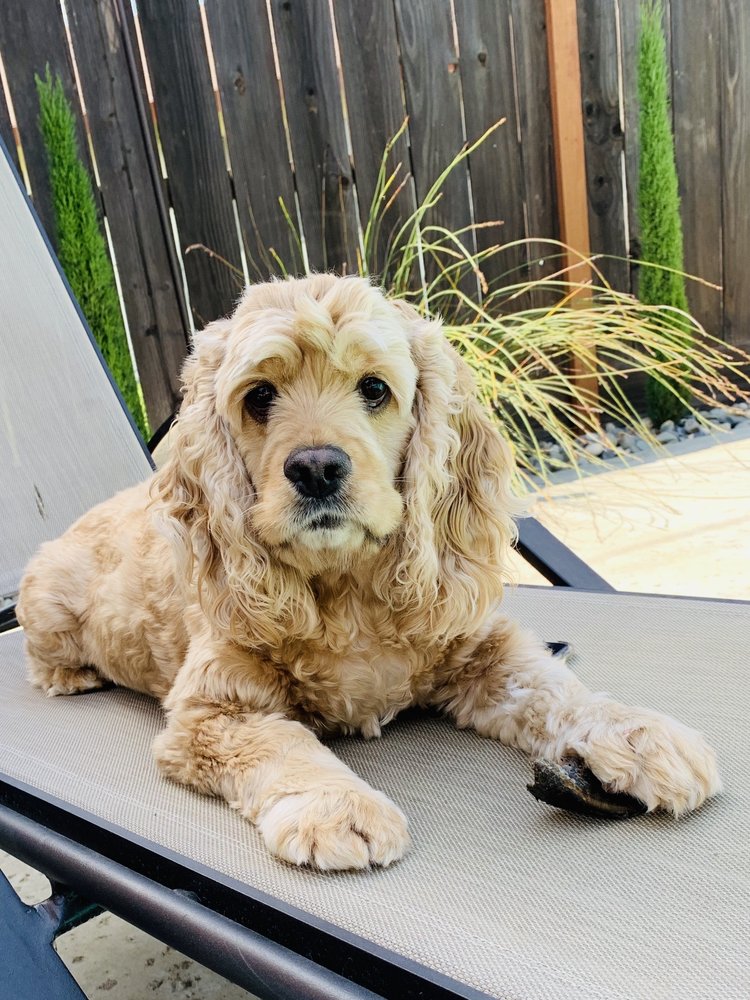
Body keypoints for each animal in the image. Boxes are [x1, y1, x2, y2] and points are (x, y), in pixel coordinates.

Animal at [17, 274, 720, 870]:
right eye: (259, 397)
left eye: (374, 389)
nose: (316, 468)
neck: (346, 589)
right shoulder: (210, 714)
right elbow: (282, 745)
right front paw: (336, 808)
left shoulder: (482, 648)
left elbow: (553, 687)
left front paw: (636, 735)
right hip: (45, 601)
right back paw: (73, 676)